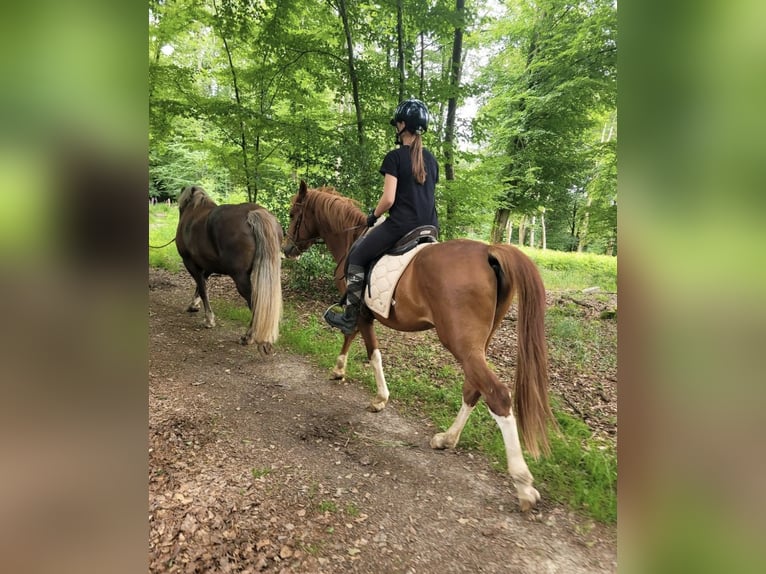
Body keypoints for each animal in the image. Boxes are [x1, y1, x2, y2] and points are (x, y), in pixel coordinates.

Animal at [176, 185, 283, 354]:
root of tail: (254, 213)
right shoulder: (208, 266)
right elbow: (201, 285)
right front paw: (194, 305)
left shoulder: (190, 263)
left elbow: (202, 287)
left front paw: (209, 319)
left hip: (240, 277)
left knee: (255, 302)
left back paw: (248, 337)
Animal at [282, 181, 555, 511]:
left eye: (294, 212)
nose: (287, 249)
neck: (351, 238)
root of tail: (489, 251)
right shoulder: (362, 313)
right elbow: (352, 338)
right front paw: (339, 371)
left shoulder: (359, 311)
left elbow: (370, 350)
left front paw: (378, 397)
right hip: (477, 344)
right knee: (474, 388)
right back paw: (447, 438)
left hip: (461, 343)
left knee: (497, 395)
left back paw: (523, 484)